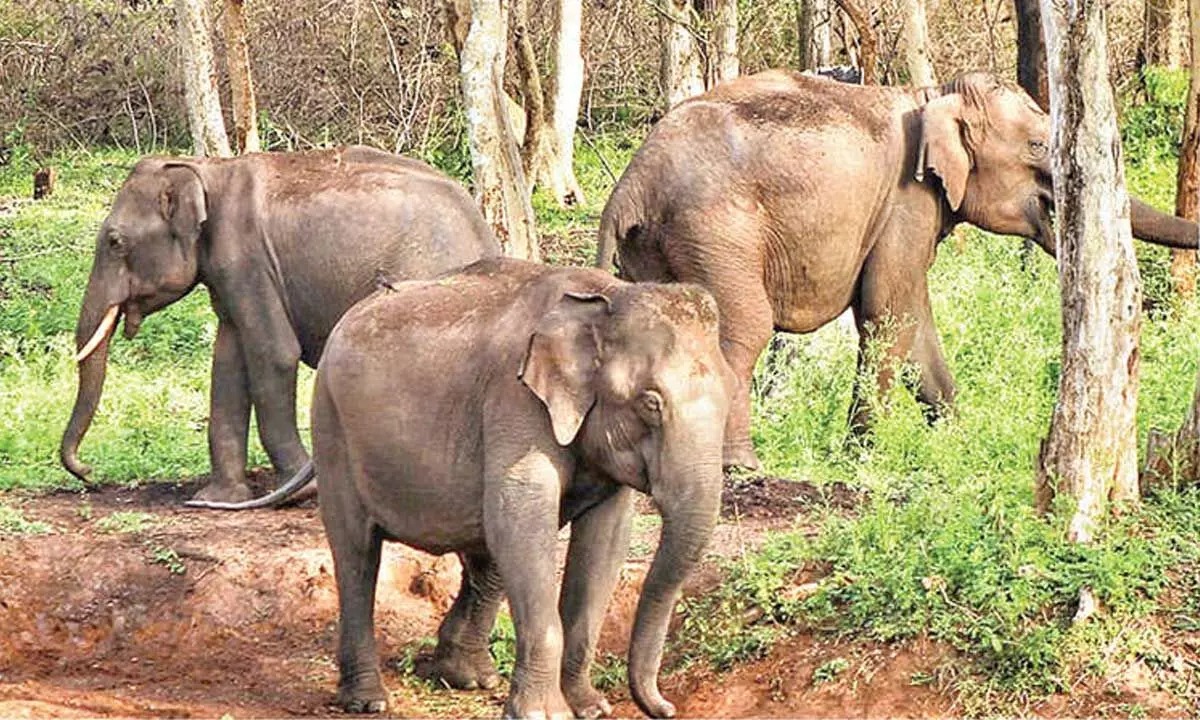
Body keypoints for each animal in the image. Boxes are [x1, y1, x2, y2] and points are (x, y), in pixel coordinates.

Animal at [60, 146, 499, 503]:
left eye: (115, 242)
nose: (89, 472)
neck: (207, 169)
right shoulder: (228, 276)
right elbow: (228, 363)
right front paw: (219, 498)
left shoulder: (247, 258)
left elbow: (274, 354)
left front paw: (298, 491)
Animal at [217, 258, 732, 718]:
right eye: (650, 403)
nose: (665, 707)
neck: (605, 296)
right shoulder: (515, 399)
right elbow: (522, 516)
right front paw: (547, 714)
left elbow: (603, 540)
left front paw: (590, 708)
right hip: (332, 426)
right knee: (358, 555)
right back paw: (367, 701)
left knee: (487, 551)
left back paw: (467, 677)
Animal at [595, 70, 1199, 471]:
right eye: (1035, 145)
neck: (931, 95)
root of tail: (631, 183)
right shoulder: (907, 201)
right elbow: (889, 313)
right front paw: (862, 456)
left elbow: (915, 322)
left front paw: (958, 439)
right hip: (717, 232)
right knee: (742, 330)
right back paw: (740, 467)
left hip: (656, 248)